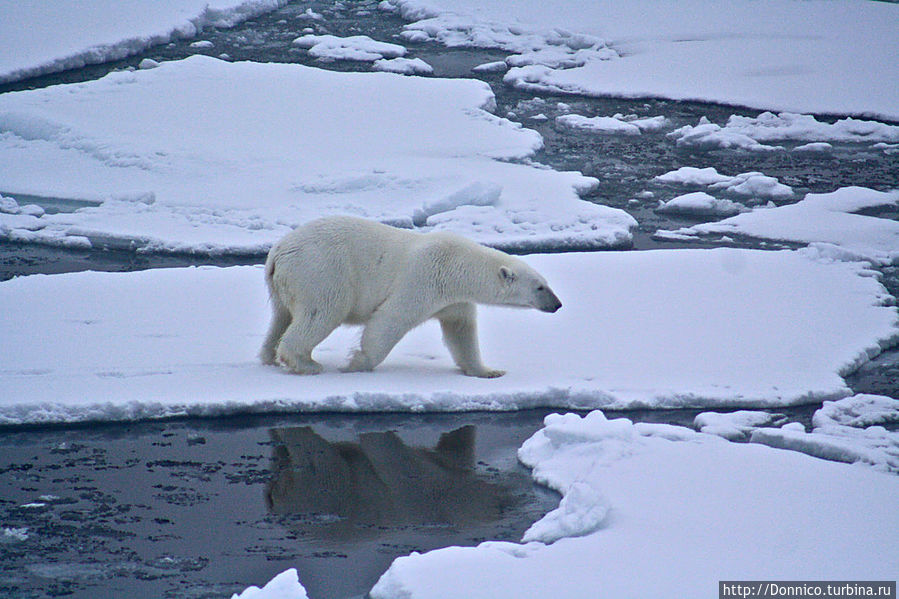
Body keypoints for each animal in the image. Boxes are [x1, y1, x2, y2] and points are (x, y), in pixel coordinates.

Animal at [256, 216, 564, 378]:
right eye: (540, 287)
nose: (558, 304)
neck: (458, 265)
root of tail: (278, 252)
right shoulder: (424, 277)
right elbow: (391, 318)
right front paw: (358, 363)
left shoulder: (455, 300)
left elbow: (461, 331)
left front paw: (488, 371)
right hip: (321, 271)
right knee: (323, 311)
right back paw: (306, 363)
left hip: (284, 284)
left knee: (281, 317)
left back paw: (270, 356)